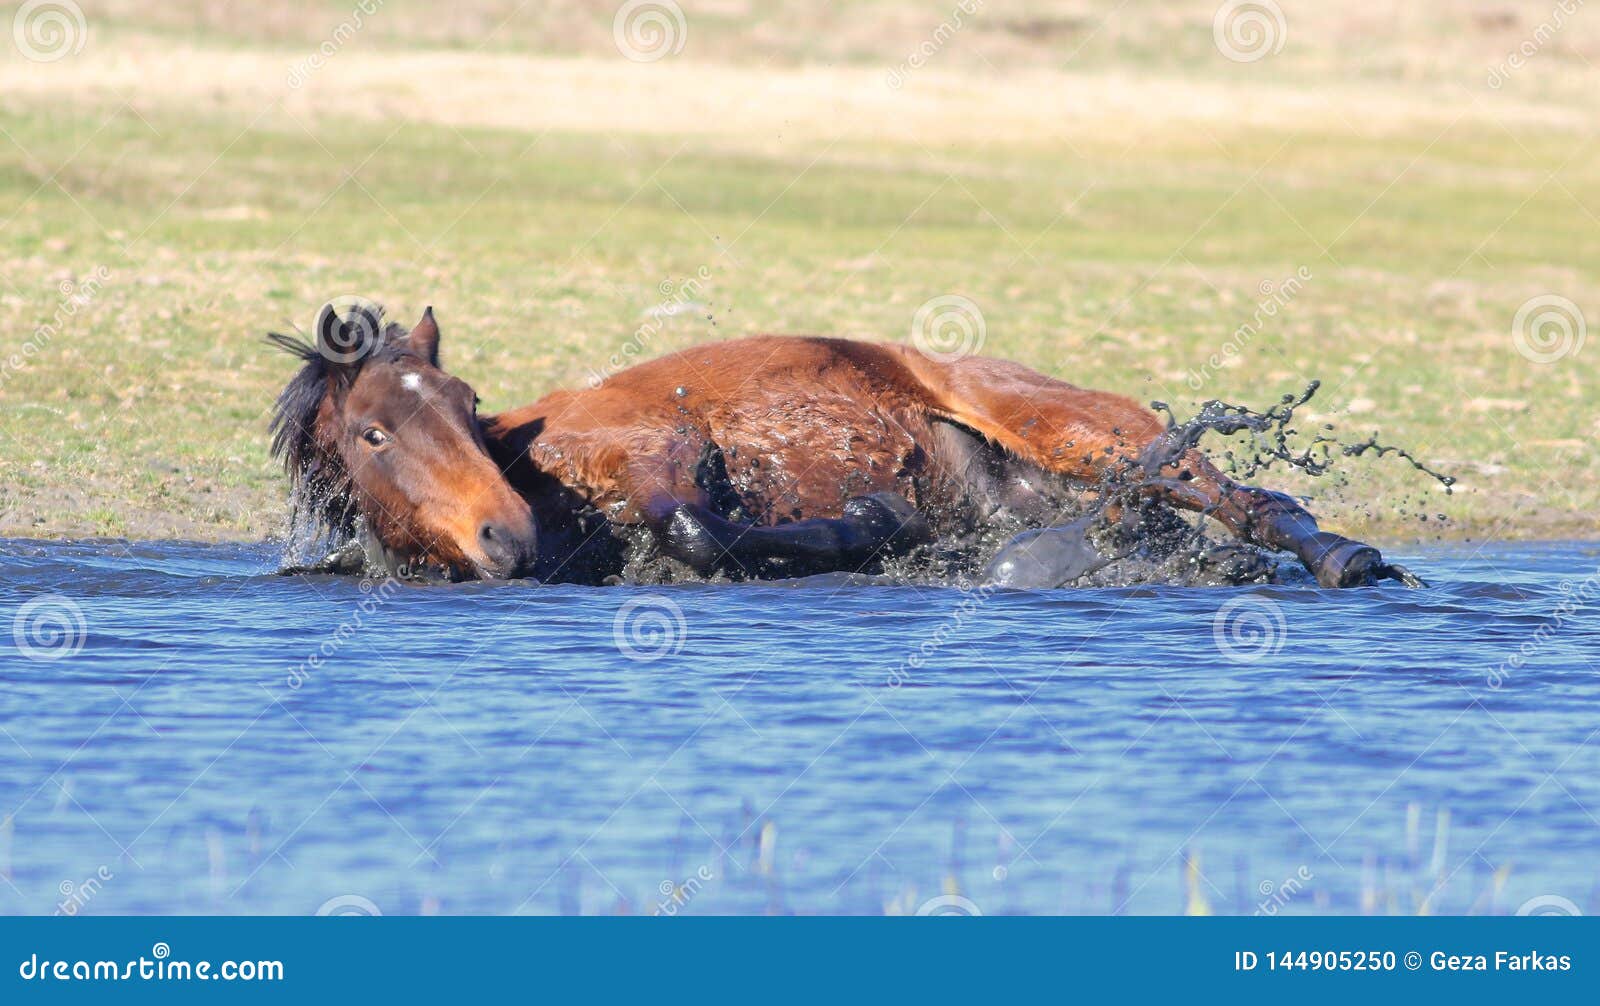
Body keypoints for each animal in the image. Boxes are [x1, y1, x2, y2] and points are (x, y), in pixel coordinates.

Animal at [269, 301, 1420, 589]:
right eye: (375, 430)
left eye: (466, 403)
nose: (504, 535)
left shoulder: (662, 449)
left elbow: (695, 528)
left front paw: (872, 518)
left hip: (1085, 435)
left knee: (1248, 498)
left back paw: (1347, 559)